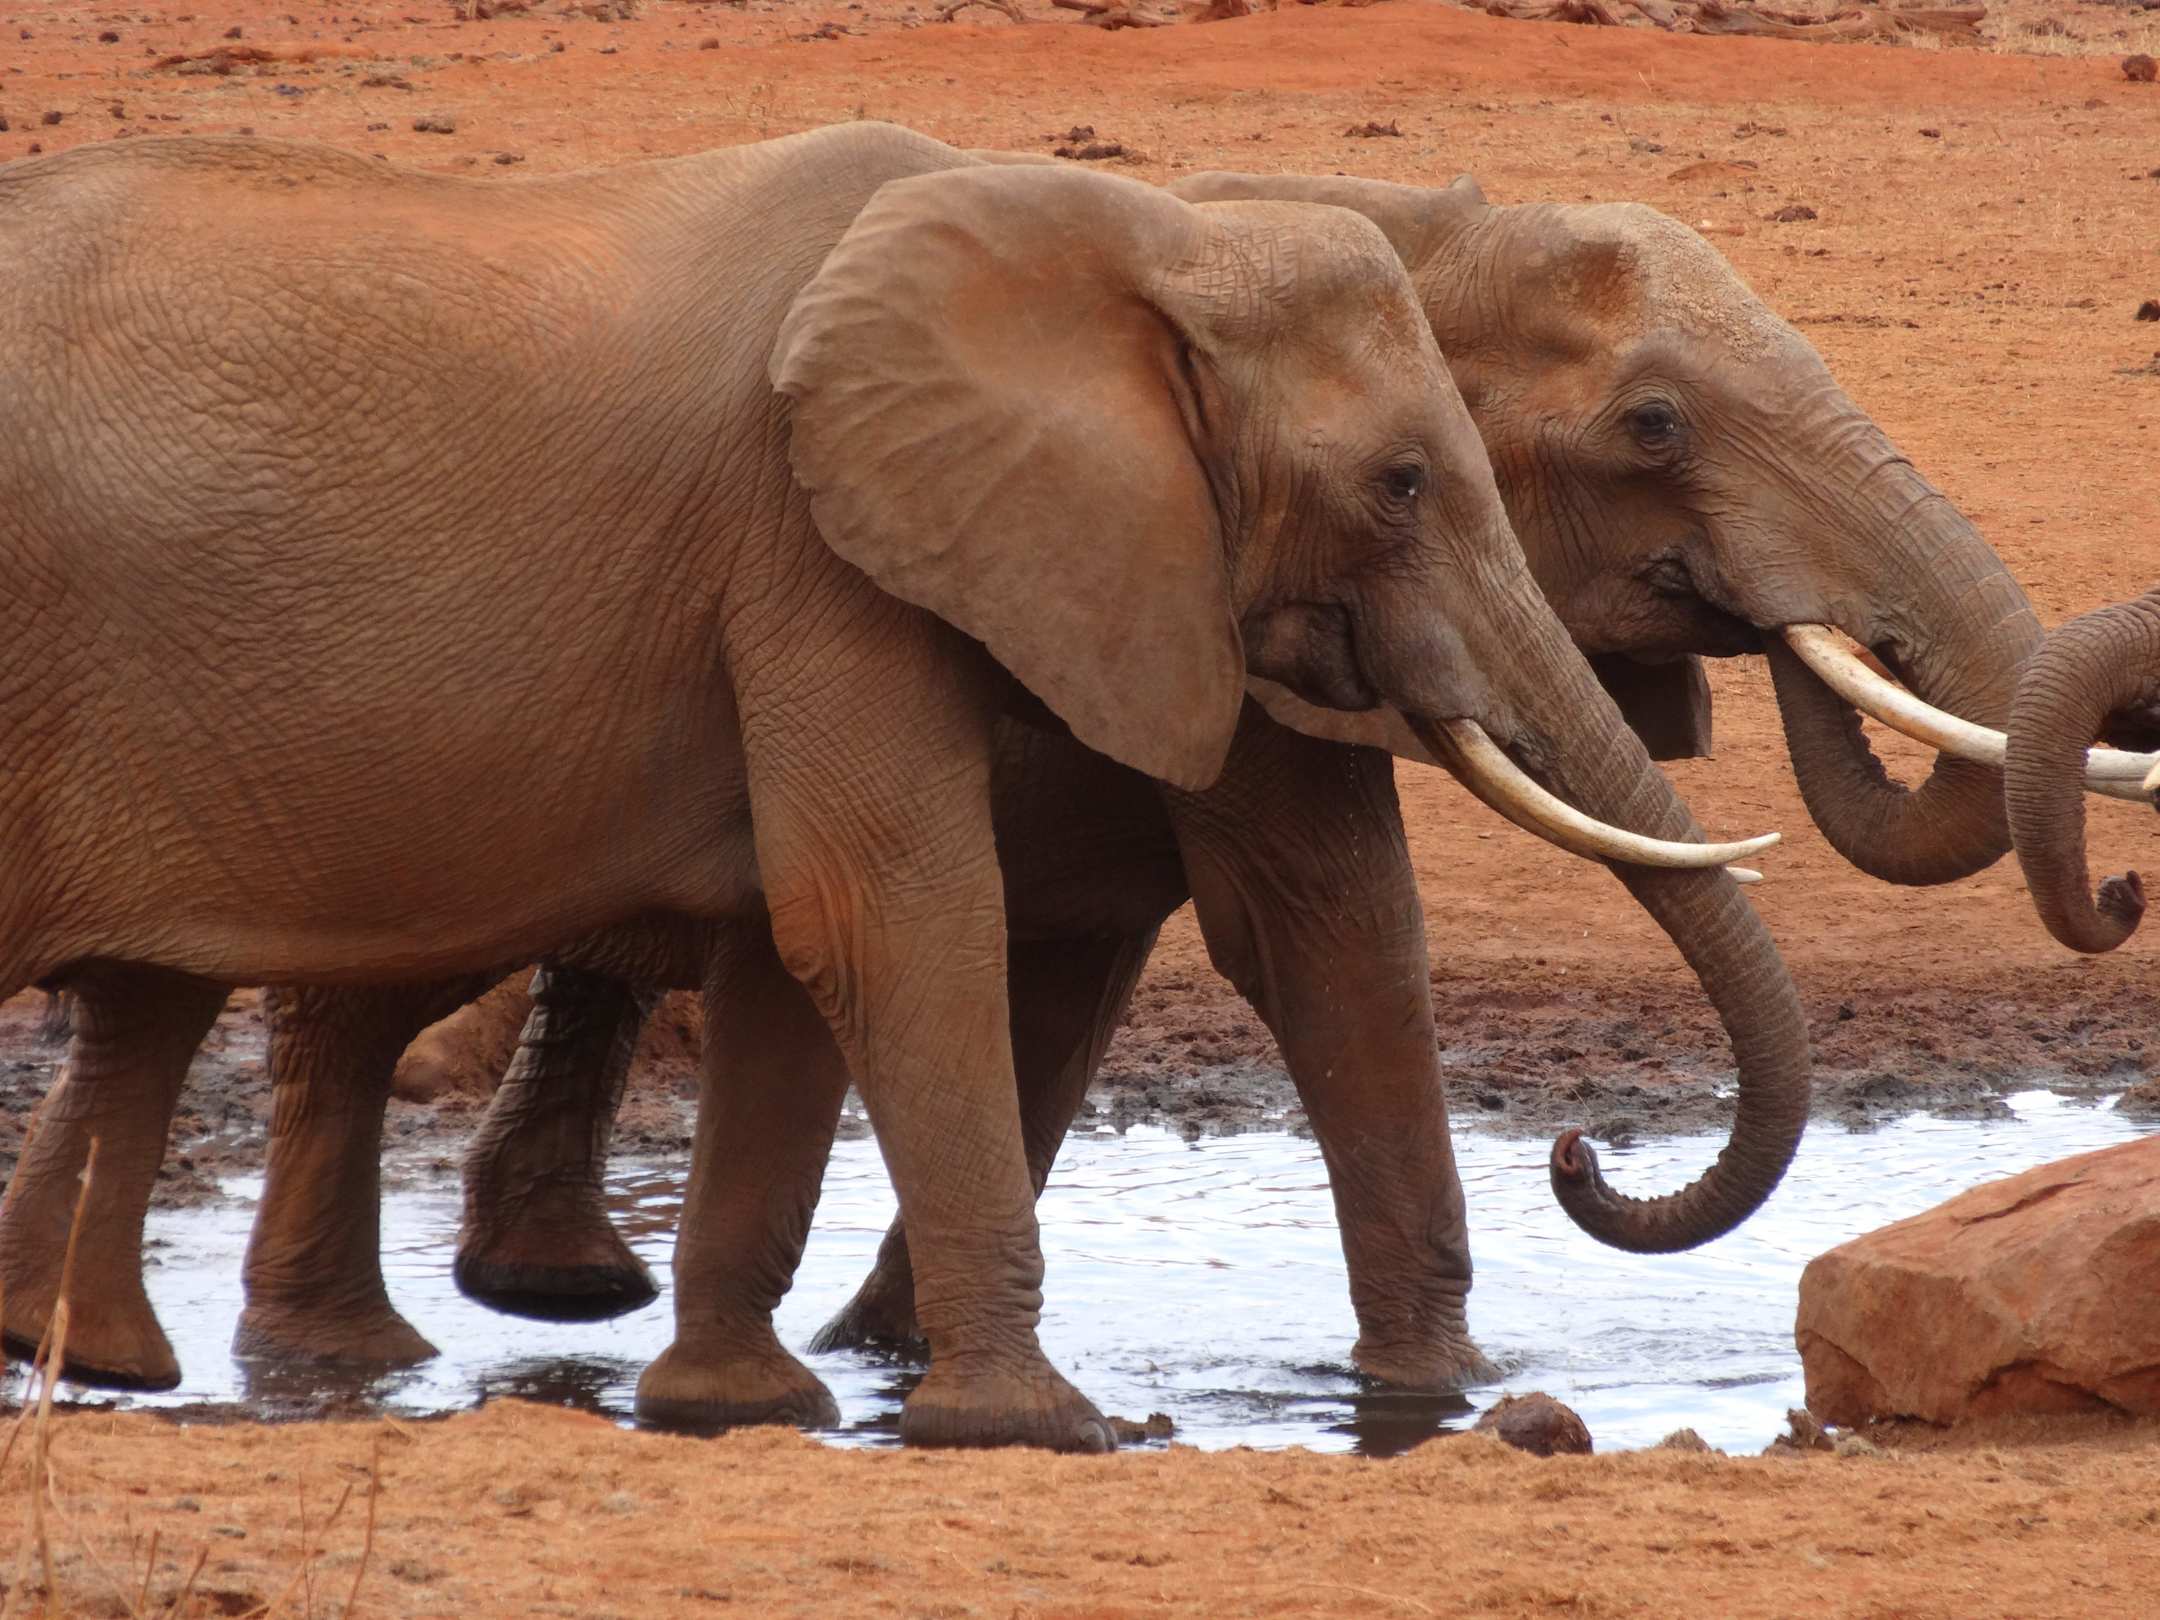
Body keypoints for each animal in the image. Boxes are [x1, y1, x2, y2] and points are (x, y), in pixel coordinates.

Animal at [0, 125, 1784, 1449]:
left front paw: (738, 1405)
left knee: (149, 1000)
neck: (1137, 242)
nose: (1580, 1157)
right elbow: (893, 909)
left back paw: (124, 1365)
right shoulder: (808, 539)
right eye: (1404, 484)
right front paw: (1037, 1427)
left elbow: (809, 945)